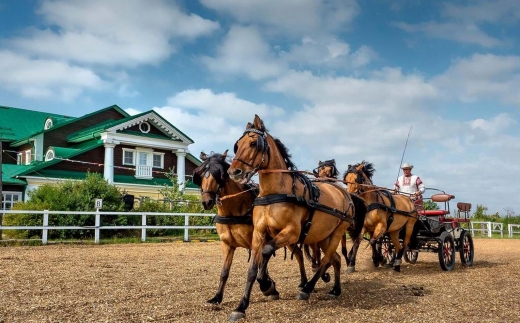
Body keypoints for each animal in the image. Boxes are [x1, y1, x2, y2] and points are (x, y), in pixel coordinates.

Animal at [192, 149, 320, 306]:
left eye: (220, 176)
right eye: (201, 175)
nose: (206, 202)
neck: (234, 210)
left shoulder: (257, 241)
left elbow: (259, 265)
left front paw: (269, 287)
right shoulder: (227, 245)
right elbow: (224, 272)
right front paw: (217, 297)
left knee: (304, 254)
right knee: (298, 254)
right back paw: (304, 283)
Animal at [228, 116, 366, 322]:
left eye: (253, 143)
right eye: (237, 145)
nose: (234, 172)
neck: (275, 192)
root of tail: (345, 194)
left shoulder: (292, 233)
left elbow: (267, 251)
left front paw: (266, 284)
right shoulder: (259, 233)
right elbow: (252, 269)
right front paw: (241, 306)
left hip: (337, 233)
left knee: (327, 259)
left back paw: (307, 288)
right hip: (322, 236)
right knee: (335, 259)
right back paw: (335, 289)